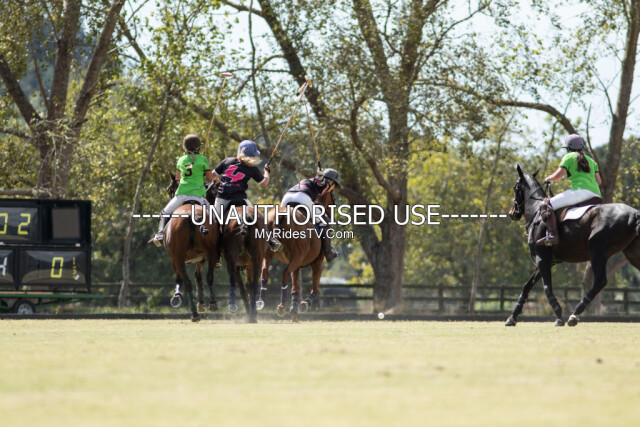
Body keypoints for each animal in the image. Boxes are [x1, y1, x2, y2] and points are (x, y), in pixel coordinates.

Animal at [163, 174, 220, 322]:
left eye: (170, 189)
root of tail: (191, 215)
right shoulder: (199, 257)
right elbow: (197, 275)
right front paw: (200, 303)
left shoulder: (176, 258)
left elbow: (184, 276)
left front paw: (178, 296)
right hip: (210, 252)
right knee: (208, 277)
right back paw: (207, 307)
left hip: (180, 256)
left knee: (190, 281)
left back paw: (196, 312)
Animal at [258, 189, 335, 322]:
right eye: (333, 196)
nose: (331, 213)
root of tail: (281, 214)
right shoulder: (317, 263)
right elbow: (315, 290)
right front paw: (304, 304)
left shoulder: (297, 265)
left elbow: (295, 288)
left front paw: (294, 314)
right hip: (299, 256)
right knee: (284, 273)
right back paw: (281, 306)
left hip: (269, 252)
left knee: (265, 271)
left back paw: (261, 301)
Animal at [506, 164, 640, 326]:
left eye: (515, 187)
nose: (512, 213)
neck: (536, 211)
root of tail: (635, 214)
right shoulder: (548, 260)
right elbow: (527, 286)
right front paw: (512, 317)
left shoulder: (542, 258)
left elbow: (546, 287)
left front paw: (558, 315)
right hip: (632, 253)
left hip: (597, 251)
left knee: (599, 281)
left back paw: (574, 314)